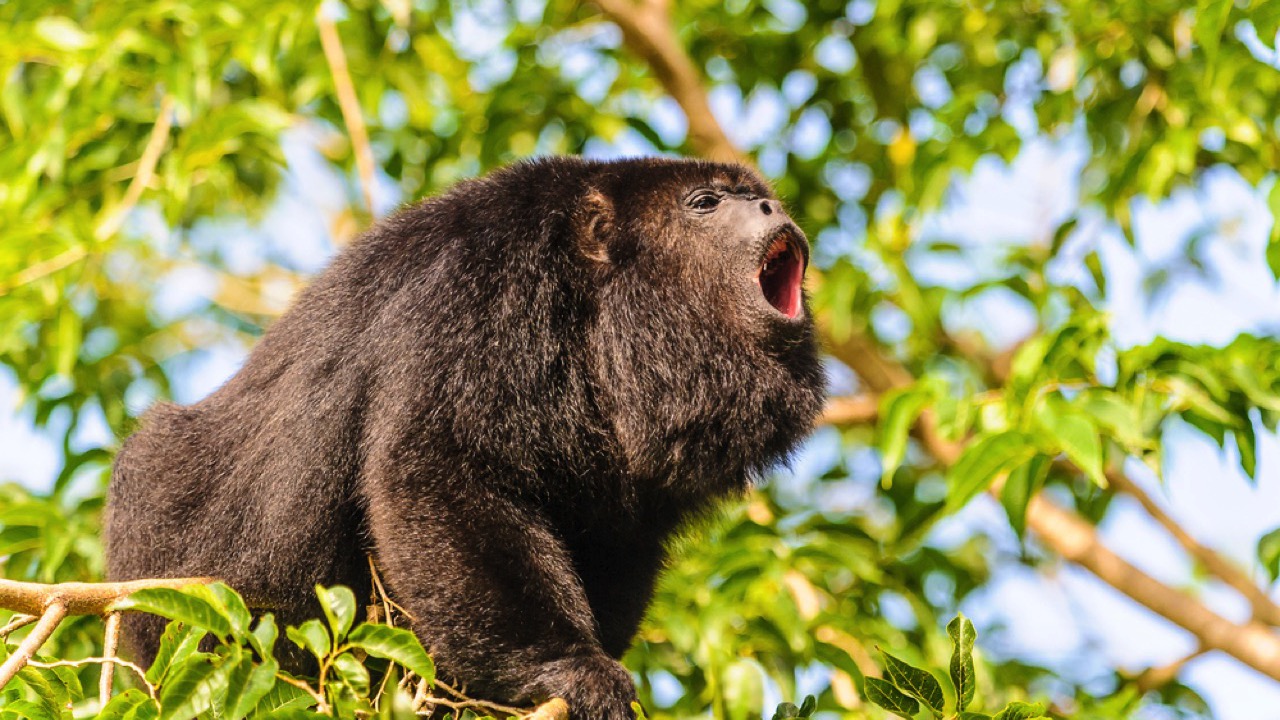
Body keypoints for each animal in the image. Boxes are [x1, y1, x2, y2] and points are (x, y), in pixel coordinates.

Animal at [104, 156, 824, 717]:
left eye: (757, 196)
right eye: (705, 203)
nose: (769, 204)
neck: (602, 307)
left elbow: (617, 535)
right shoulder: (482, 289)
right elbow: (438, 471)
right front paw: (567, 667)